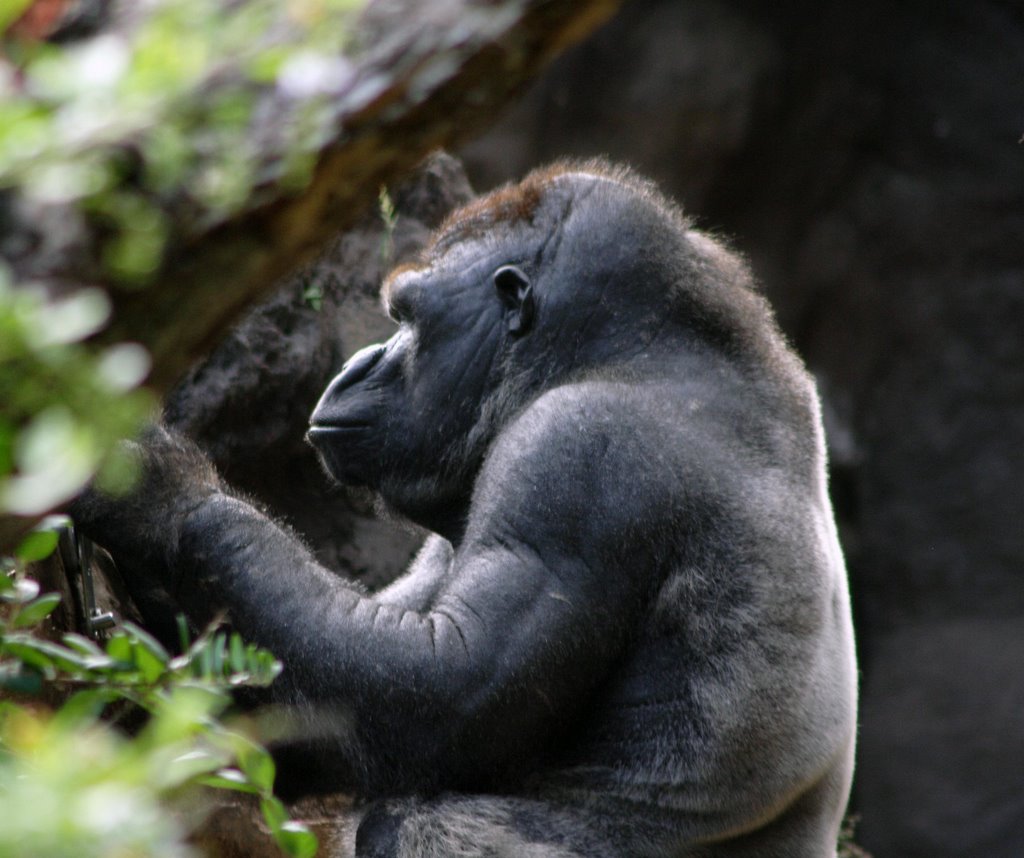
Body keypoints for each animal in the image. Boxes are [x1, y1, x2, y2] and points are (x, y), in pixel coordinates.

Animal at [70, 162, 856, 858]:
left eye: (407, 320)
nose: (358, 361)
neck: (636, 350)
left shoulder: (575, 453)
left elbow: (439, 696)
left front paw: (158, 495)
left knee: (400, 823)